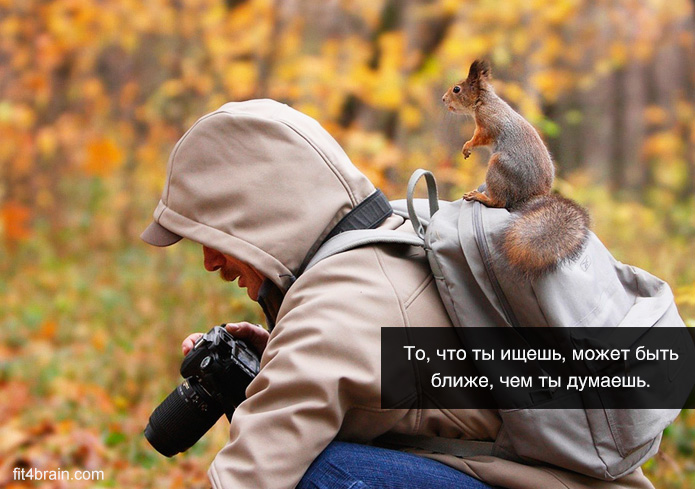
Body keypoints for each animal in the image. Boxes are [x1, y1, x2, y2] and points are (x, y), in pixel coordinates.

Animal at [444, 59, 588, 280]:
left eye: (457, 89)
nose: (443, 99)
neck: (484, 102)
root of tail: (531, 196)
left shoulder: (488, 125)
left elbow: (478, 137)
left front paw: (467, 146)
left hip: (499, 167)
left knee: (499, 202)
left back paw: (480, 196)